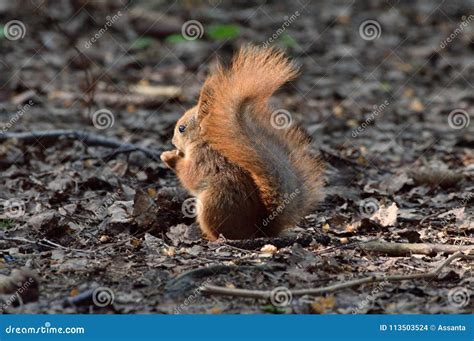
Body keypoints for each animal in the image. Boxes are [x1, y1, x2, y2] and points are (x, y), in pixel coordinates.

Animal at [161, 46, 324, 239]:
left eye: (182, 128)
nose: (172, 141)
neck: (204, 141)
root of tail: (259, 228)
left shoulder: (203, 158)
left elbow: (190, 176)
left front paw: (169, 157)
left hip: (212, 203)